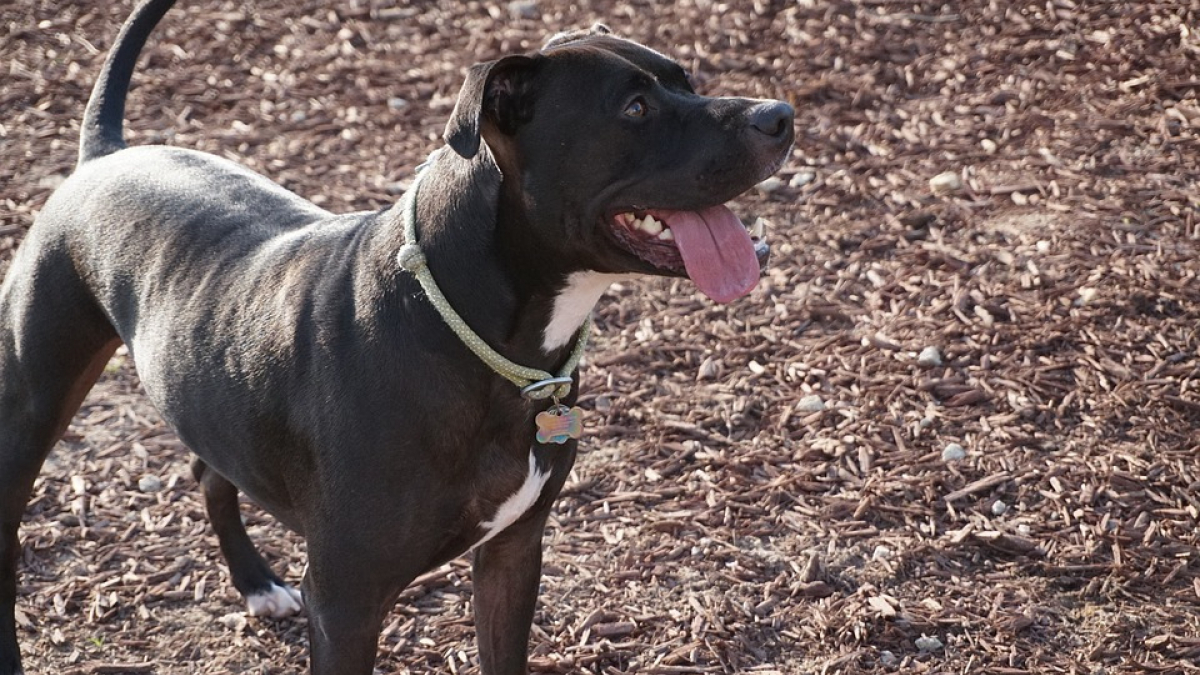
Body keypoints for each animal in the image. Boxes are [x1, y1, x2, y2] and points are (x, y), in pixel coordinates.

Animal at [0, 1, 792, 667]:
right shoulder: (347, 605)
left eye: (686, 80)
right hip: (31, 403)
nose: (779, 114)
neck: (479, 337)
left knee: (210, 470)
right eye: (635, 107)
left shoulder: (513, 555)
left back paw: (256, 582)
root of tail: (105, 154)